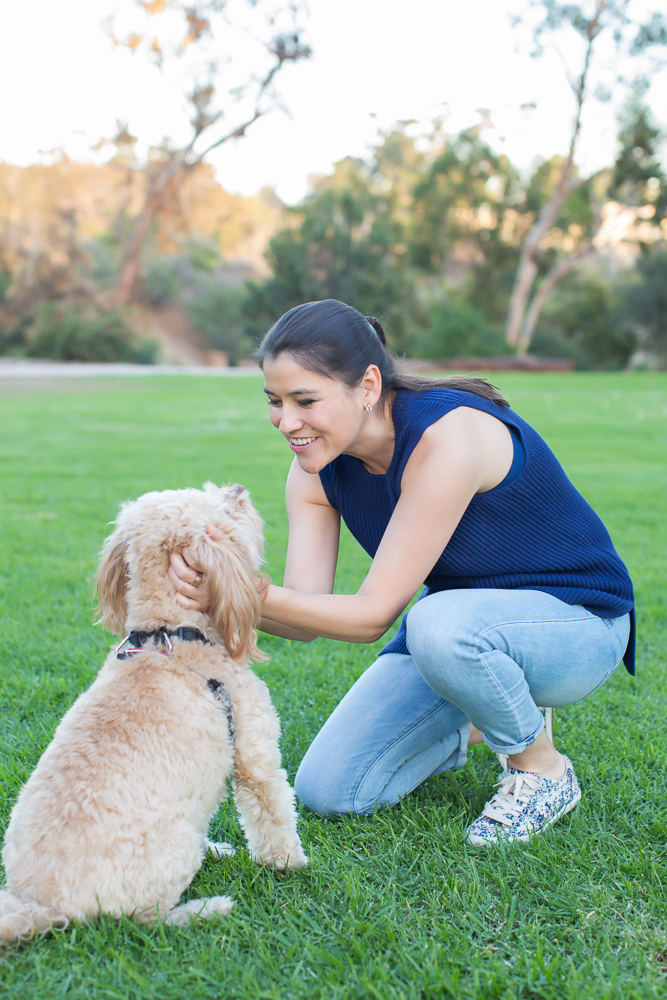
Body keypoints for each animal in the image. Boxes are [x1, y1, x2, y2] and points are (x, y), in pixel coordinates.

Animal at [0, 480, 308, 940]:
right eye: (222, 510)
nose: (238, 488)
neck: (171, 634)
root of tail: (40, 903)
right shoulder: (255, 754)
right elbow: (274, 813)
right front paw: (291, 863)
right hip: (173, 848)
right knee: (148, 921)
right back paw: (206, 908)